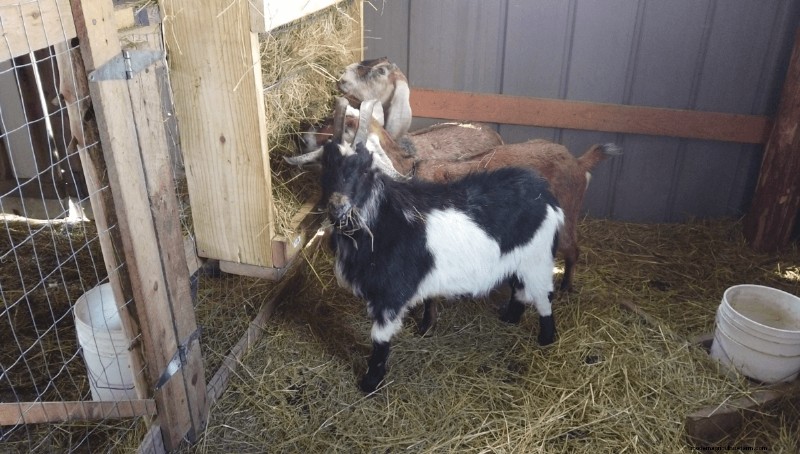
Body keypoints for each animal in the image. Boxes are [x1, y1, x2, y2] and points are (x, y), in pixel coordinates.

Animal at [320, 134, 564, 393]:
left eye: (365, 170)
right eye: (326, 166)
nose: (338, 207)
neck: (382, 220)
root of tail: (546, 195)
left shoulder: (391, 295)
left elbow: (379, 340)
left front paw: (370, 383)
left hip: (538, 259)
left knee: (543, 296)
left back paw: (546, 338)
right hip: (520, 260)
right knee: (519, 289)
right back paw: (510, 318)